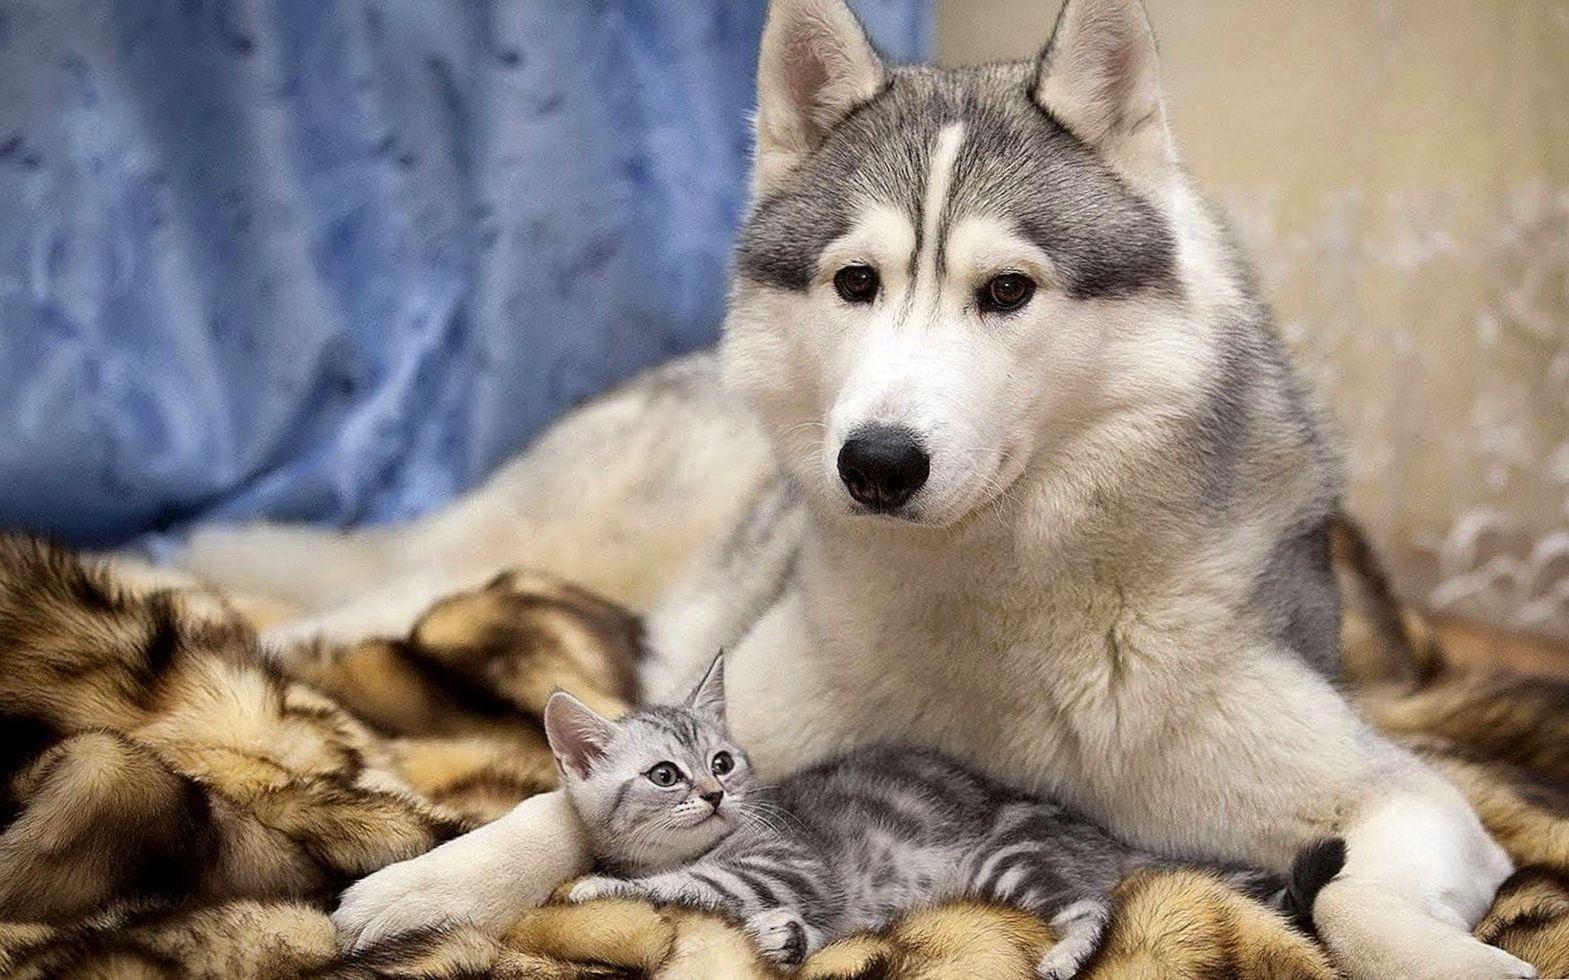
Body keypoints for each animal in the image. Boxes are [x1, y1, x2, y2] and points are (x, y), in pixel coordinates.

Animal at [176, 1, 1535, 976]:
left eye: (1007, 290)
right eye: (856, 282)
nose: (877, 461)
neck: (1004, 607)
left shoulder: (1409, 796)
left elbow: (1355, 895)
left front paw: (1461, 963)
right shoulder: (739, 724)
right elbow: (556, 805)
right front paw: (431, 882)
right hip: (539, 537)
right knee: (386, 584)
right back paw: (263, 625)